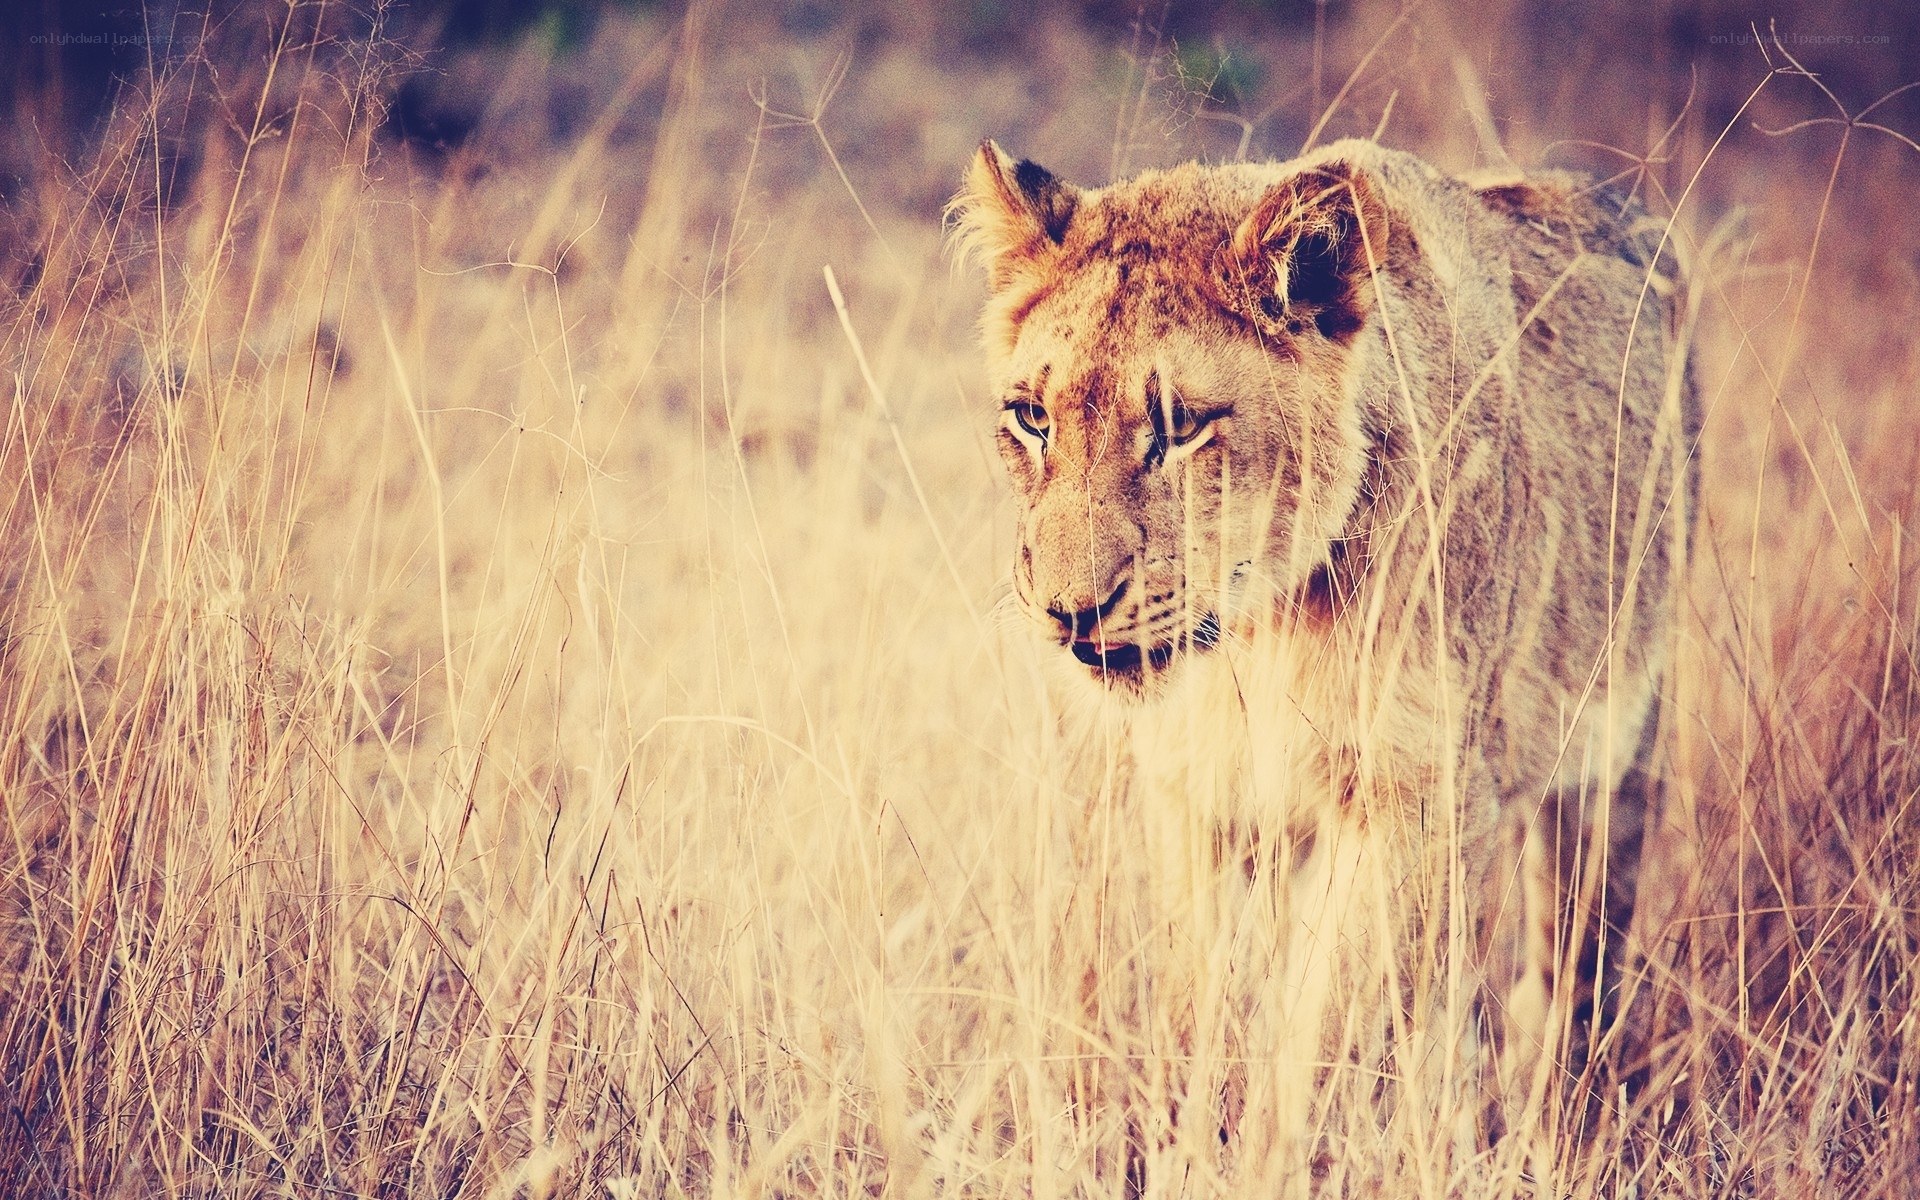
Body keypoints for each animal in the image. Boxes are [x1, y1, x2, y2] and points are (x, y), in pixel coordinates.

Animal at [949, 137, 1697, 1165]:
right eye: (1033, 417)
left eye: (1181, 426)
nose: (1070, 611)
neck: (1256, 634)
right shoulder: (1195, 793)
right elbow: (1203, 999)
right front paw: (1194, 1139)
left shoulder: (1414, 793)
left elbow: (1333, 1025)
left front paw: (1278, 1158)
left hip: (1614, 755)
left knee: (1575, 966)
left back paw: (1557, 1120)